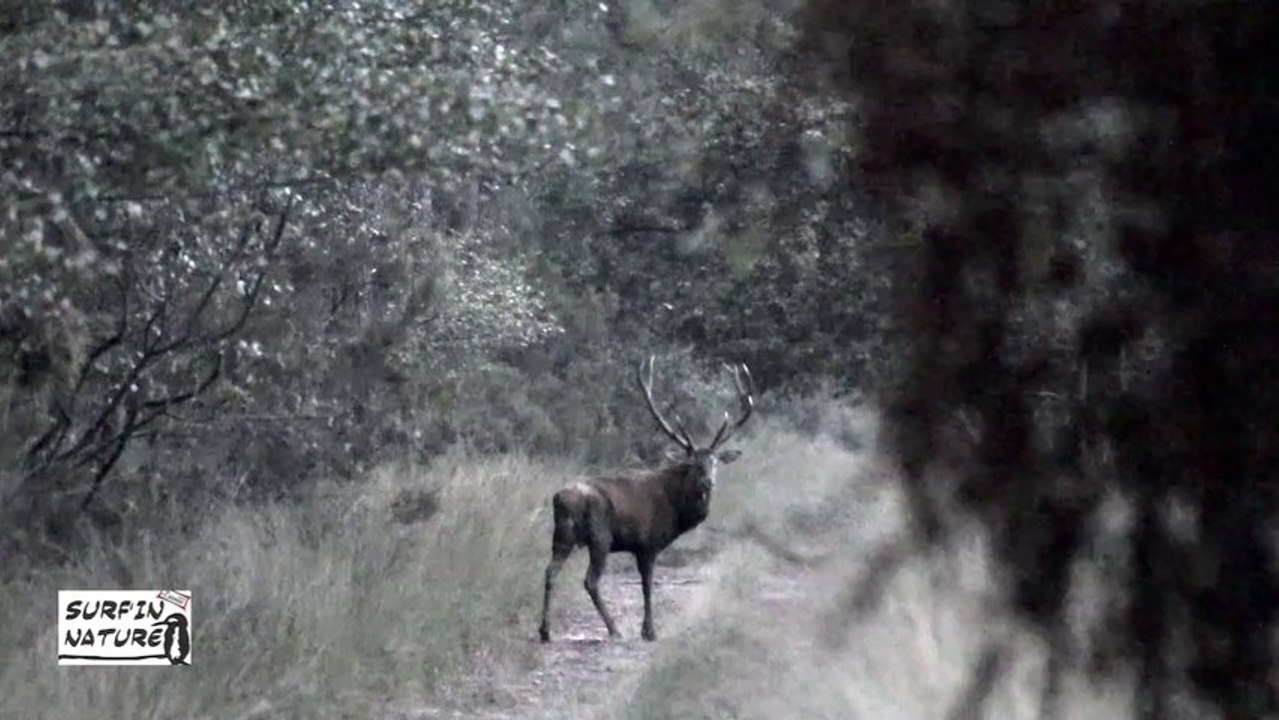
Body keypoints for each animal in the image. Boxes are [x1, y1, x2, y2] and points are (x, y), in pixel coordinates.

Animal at [538, 356, 754, 642]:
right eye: (693, 464)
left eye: (715, 462)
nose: (708, 482)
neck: (676, 511)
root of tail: (560, 498)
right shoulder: (648, 543)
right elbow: (648, 585)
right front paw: (649, 631)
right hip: (600, 536)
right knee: (590, 580)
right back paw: (614, 629)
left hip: (561, 536)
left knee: (550, 572)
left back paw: (545, 631)